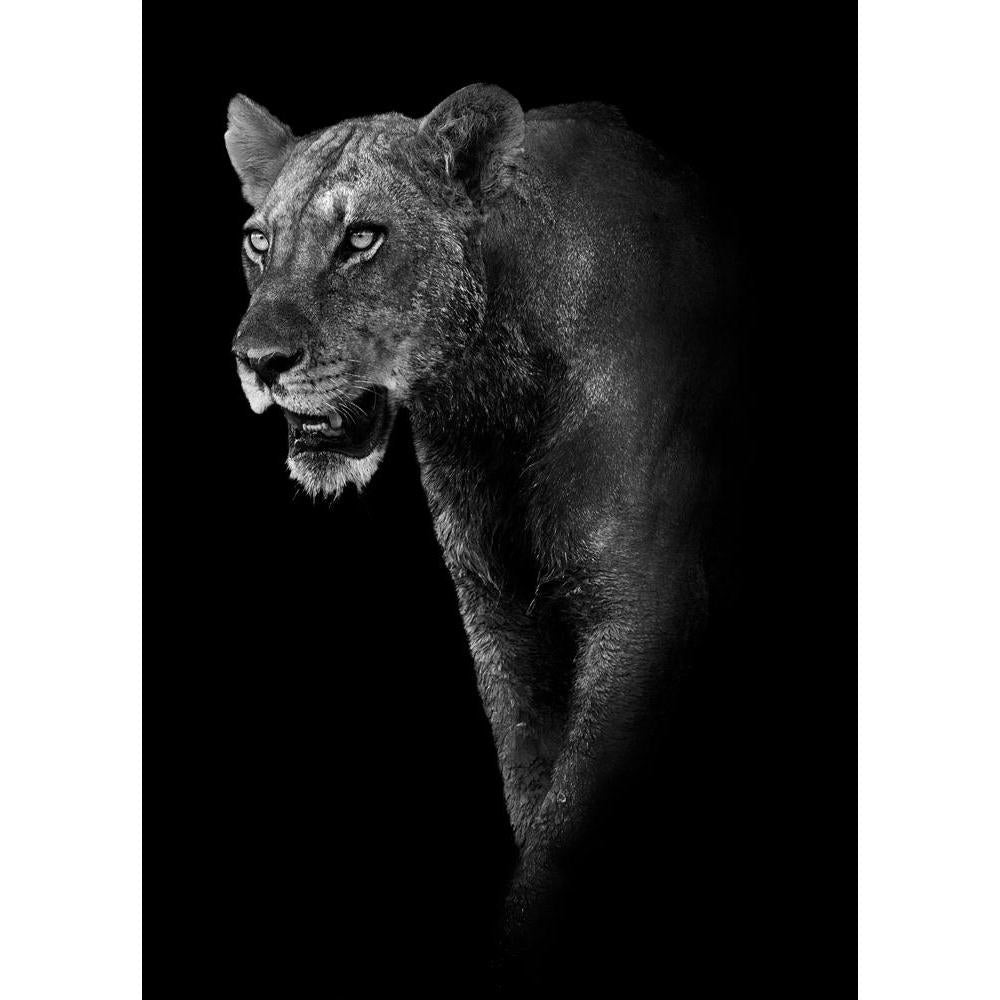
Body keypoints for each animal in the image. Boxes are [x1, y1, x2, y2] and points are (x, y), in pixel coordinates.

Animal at [225, 83, 735, 974]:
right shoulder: (498, 609)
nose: (257, 360)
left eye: (362, 238)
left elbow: (568, 825)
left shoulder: (645, 607)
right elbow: (532, 781)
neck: (489, 397)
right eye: (260, 241)